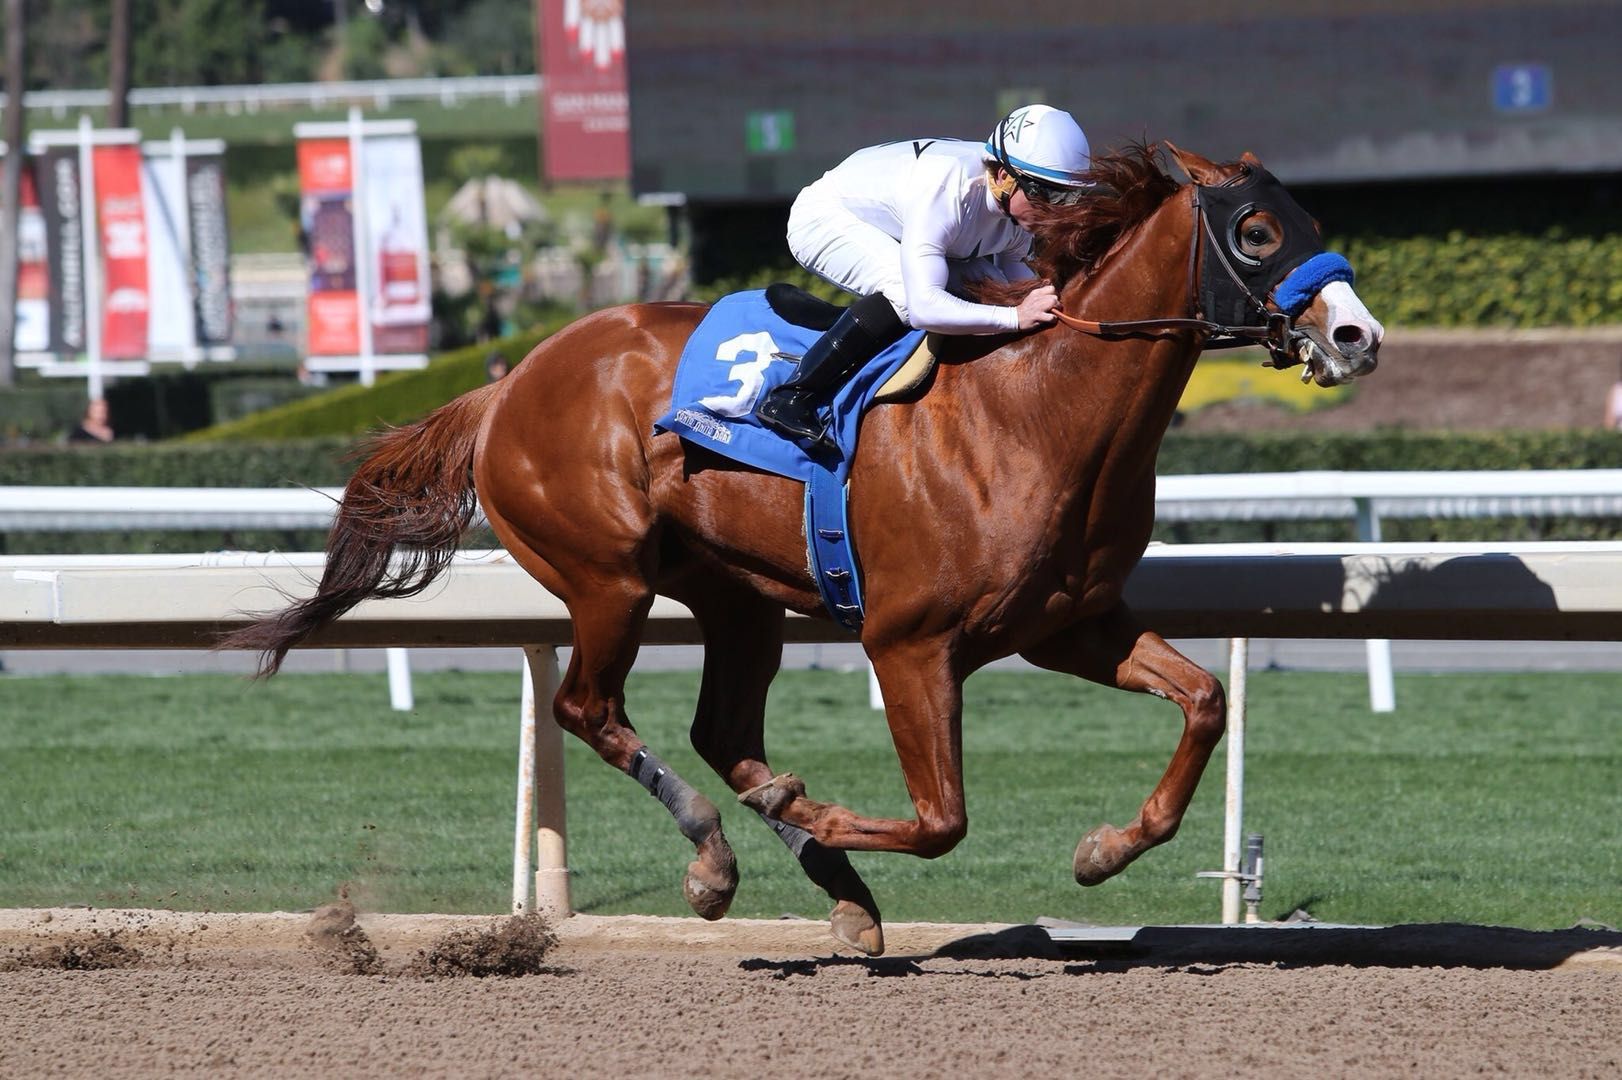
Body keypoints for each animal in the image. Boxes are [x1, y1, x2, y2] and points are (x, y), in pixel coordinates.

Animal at [226, 143, 1382, 956]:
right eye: (1257, 232)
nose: (1356, 337)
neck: (1035, 411)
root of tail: (508, 382)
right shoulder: (909, 643)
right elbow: (941, 818)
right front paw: (815, 808)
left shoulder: (1066, 625)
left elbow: (1205, 700)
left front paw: (1103, 852)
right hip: (607, 576)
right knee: (588, 709)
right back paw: (720, 857)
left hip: (737, 599)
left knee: (719, 730)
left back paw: (829, 884)